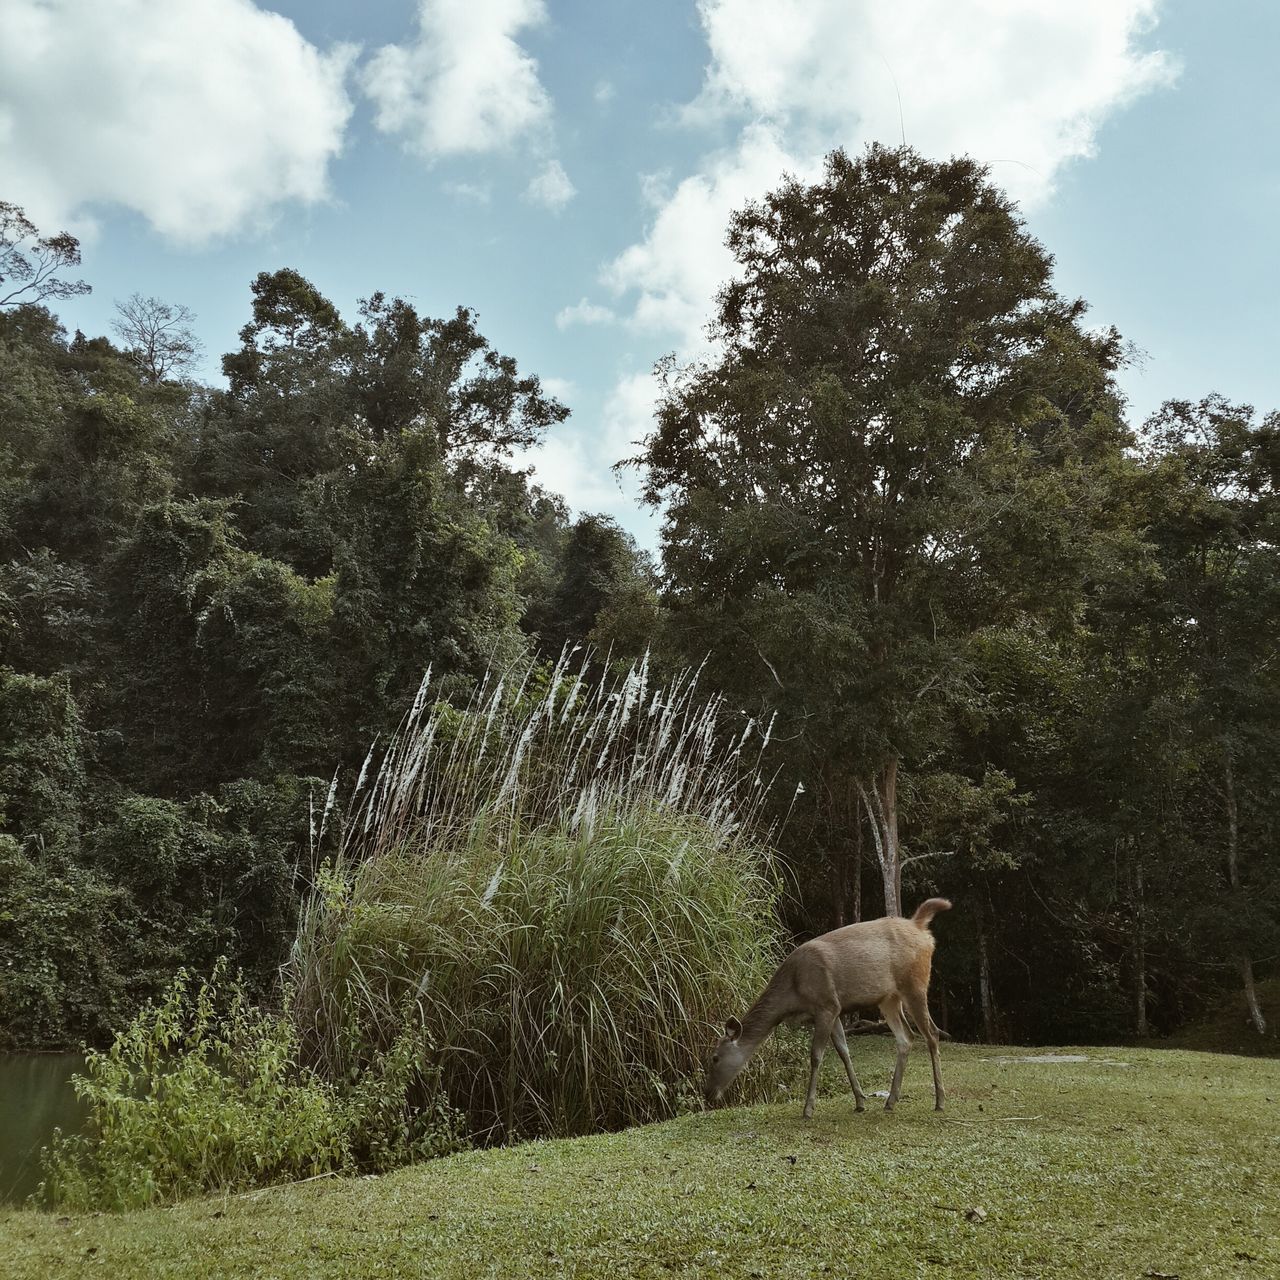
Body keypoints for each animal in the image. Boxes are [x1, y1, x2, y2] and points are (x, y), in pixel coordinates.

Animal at [701, 896, 952, 1116]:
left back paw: (940, 1101)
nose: (707, 1094)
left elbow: (816, 1055)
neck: (792, 993)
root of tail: (920, 927)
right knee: (906, 1037)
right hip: (888, 998)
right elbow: (843, 1051)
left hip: (915, 984)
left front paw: (808, 1109)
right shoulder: (835, 1009)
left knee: (932, 1033)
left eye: (714, 1058)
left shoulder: (826, 1005)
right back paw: (891, 1101)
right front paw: (860, 1101)